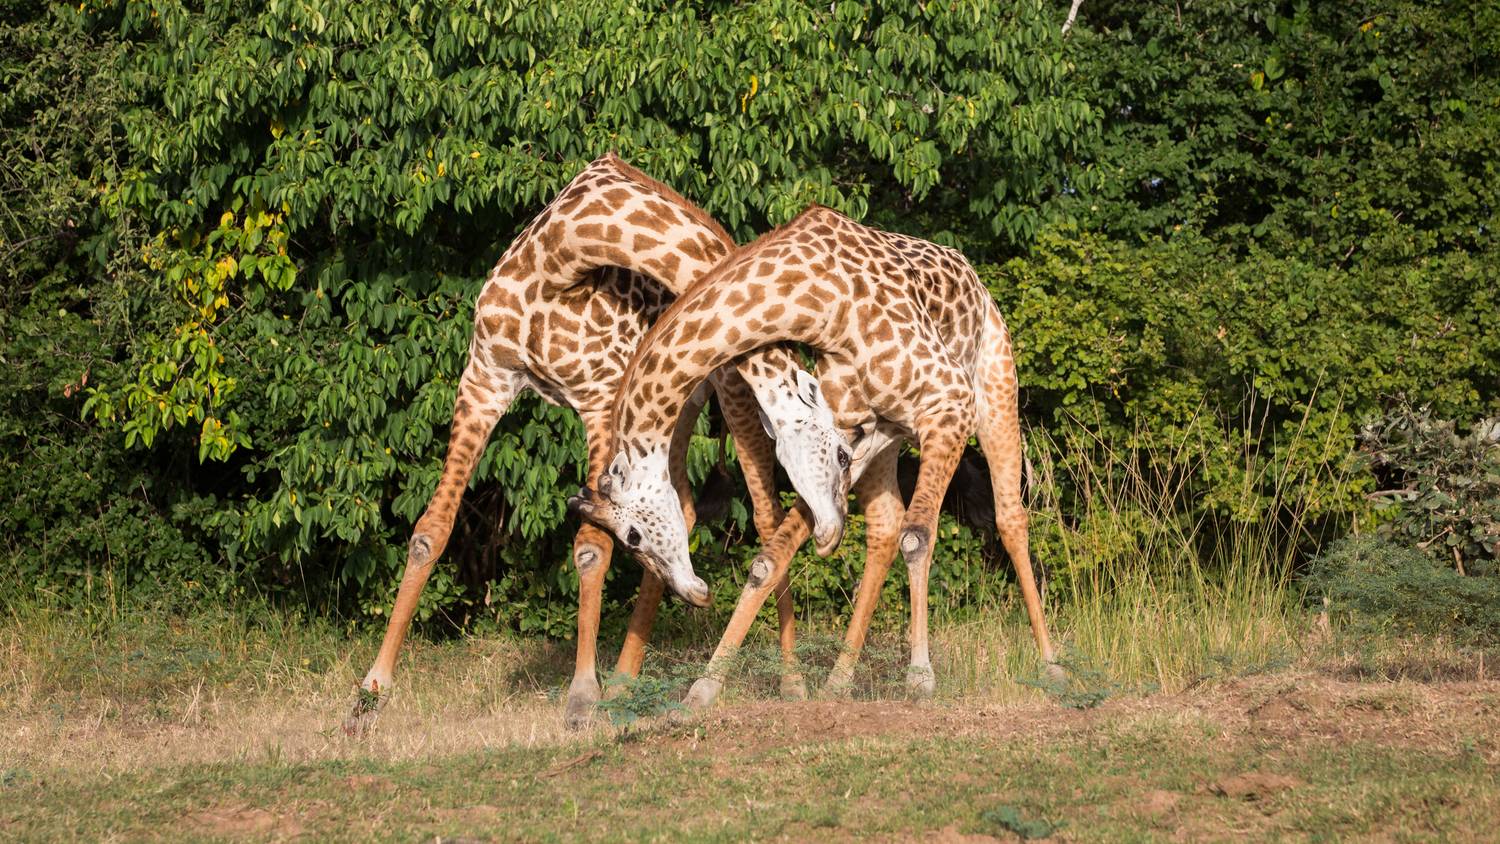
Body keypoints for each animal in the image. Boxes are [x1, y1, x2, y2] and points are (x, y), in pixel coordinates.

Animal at [343, 155, 852, 737]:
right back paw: (628, 682)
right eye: (840, 453)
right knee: (687, 506)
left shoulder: (600, 398)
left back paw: (789, 682)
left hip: (729, 397)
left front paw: (582, 697)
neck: (560, 261)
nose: (835, 528)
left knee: (764, 518)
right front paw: (369, 696)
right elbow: (431, 529)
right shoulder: (485, 377)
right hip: (675, 413)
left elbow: (589, 547)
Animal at [567, 202, 1062, 707]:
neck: (823, 304)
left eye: (633, 536)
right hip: (889, 440)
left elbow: (919, 537)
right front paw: (702, 691)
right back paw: (838, 680)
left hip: (994, 387)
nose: (694, 594)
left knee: (1009, 518)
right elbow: (768, 560)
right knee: (884, 528)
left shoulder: (947, 400)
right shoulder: (852, 425)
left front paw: (921, 678)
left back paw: (1052, 667)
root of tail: (972, 276)